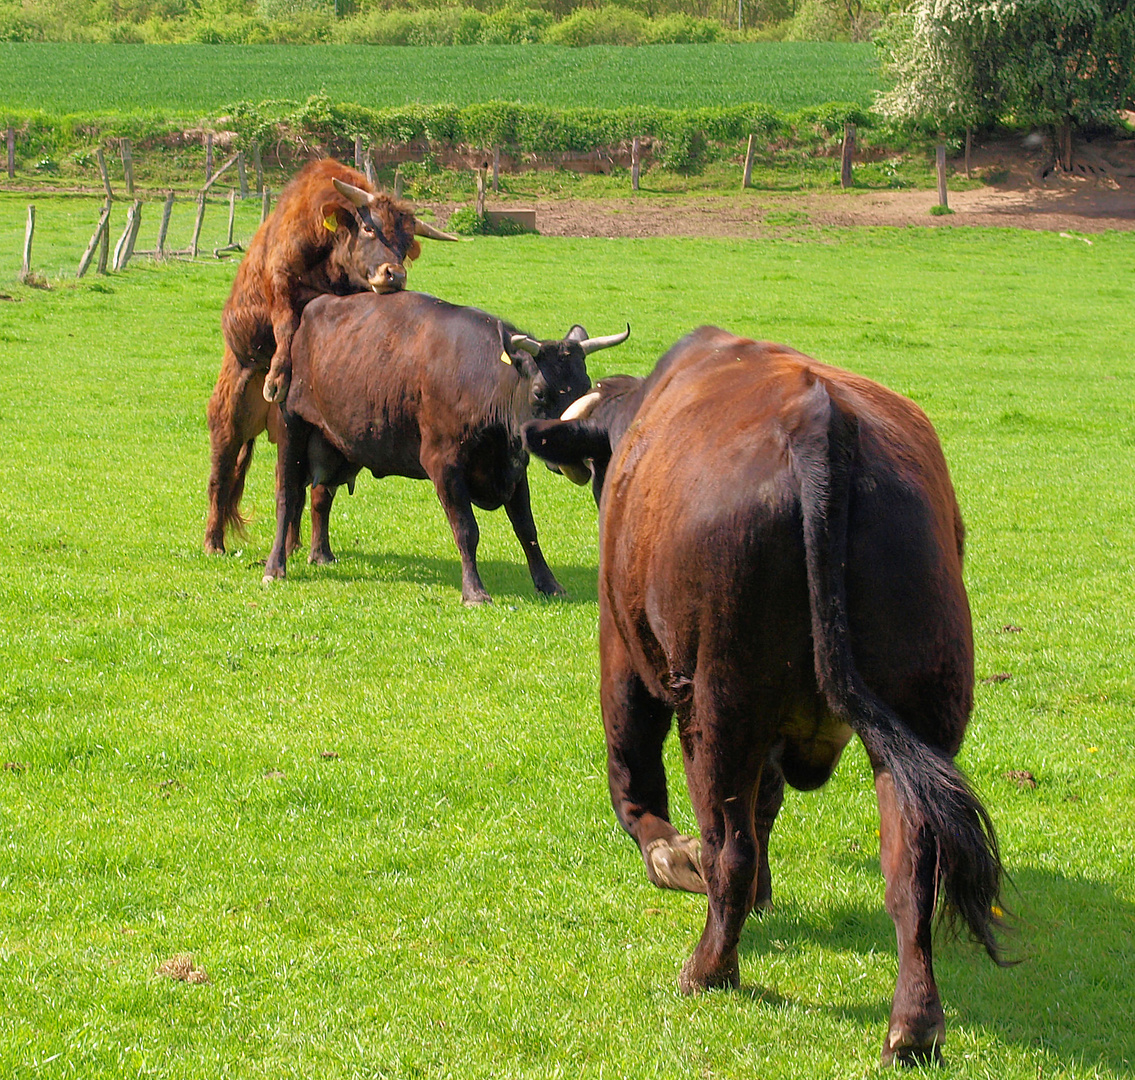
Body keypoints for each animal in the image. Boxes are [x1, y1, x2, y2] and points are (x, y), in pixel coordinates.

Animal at [204, 157, 456, 555]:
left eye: (405, 245)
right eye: (369, 228)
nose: (394, 275)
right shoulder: (280, 277)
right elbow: (285, 323)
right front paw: (278, 376)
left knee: (298, 486)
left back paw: (294, 544)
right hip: (228, 414)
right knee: (221, 475)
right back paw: (214, 542)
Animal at [262, 290, 631, 603]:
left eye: (585, 386)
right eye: (540, 392)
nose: (580, 457)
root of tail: (314, 307)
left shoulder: (513, 467)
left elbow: (527, 529)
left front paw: (549, 583)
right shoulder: (444, 464)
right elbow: (466, 529)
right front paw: (475, 592)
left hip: (338, 443)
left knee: (321, 496)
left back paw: (321, 554)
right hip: (292, 428)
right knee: (287, 496)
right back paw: (275, 567)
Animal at [522, 326, 1012, 1061]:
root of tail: (820, 423)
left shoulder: (624, 652)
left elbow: (634, 777)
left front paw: (672, 858)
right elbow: (767, 805)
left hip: (721, 711)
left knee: (730, 846)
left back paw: (708, 967)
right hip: (920, 720)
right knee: (911, 866)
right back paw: (915, 1024)